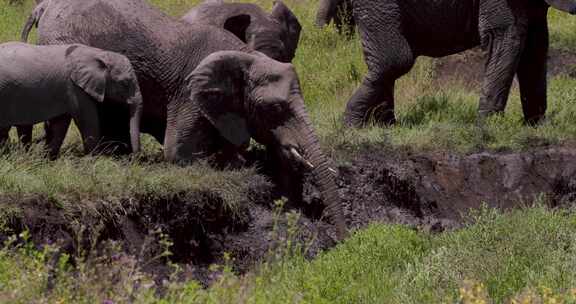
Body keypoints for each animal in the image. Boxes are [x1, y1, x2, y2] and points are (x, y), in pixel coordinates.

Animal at [0, 42, 143, 159]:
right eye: (124, 83)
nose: (133, 158)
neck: (99, 54)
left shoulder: (66, 91)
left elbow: (60, 124)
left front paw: (48, 159)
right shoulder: (75, 88)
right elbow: (87, 121)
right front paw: (94, 160)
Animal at [20, 0, 346, 240]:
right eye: (275, 109)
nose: (343, 240)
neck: (243, 56)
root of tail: (44, 6)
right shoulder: (189, 92)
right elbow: (177, 152)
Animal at [340, 0, 576, 127]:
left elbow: (535, 46)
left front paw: (537, 126)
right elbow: (507, 36)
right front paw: (487, 128)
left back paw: (385, 126)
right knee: (395, 60)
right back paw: (354, 125)